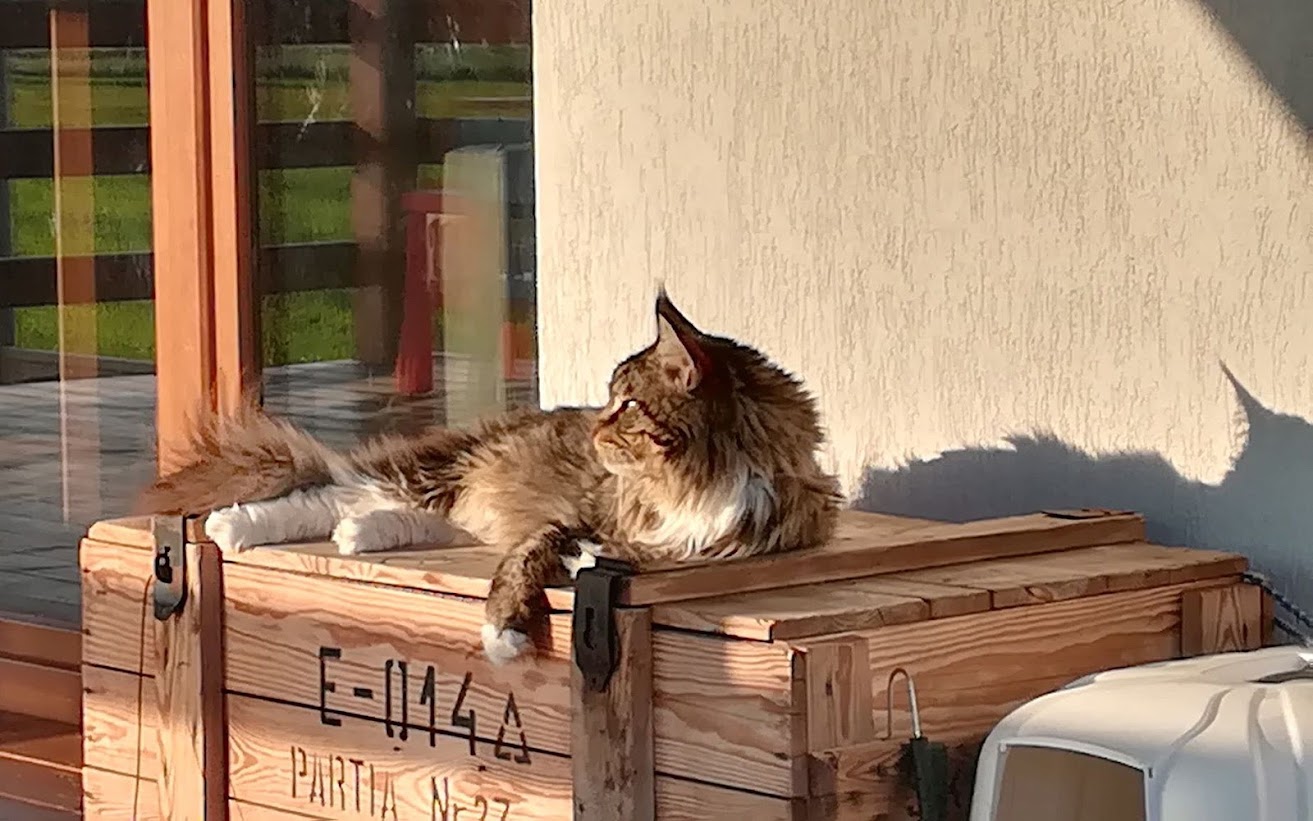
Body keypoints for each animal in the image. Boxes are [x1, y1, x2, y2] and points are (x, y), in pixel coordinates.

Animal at [135, 289, 843, 664]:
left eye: (628, 404)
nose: (594, 426)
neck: (695, 481)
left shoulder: (686, 545)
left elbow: (579, 553)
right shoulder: (575, 518)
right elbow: (526, 555)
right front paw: (505, 630)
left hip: (446, 495)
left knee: (399, 513)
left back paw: (363, 534)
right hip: (430, 468)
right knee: (332, 489)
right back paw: (239, 525)